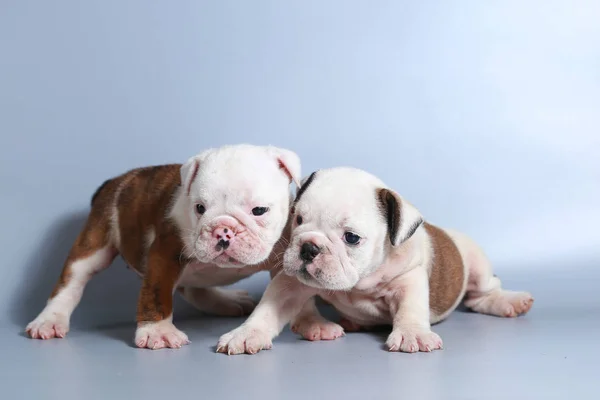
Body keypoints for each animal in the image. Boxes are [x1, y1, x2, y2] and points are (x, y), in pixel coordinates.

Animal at [25, 145, 302, 350]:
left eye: (259, 210)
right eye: (199, 208)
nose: (222, 230)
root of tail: (112, 183)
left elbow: (277, 298)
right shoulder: (165, 252)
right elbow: (157, 293)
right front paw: (157, 331)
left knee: (194, 287)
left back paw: (227, 301)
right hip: (94, 243)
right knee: (71, 282)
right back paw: (49, 320)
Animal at [217, 167, 536, 354]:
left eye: (351, 238)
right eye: (298, 219)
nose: (308, 247)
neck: (360, 281)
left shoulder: (408, 279)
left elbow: (410, 308)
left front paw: (412, 335)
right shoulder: (289, 284)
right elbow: (268, 309)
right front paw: (246, 334)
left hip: (476, 263)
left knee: (482, 294)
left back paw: (509, 301)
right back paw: (317, 325)